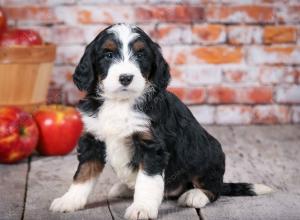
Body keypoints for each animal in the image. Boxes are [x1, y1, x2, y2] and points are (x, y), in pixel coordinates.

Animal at [50, 23, 274, 219]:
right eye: (108, 54)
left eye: (141, 54)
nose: (126, 78)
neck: (120, 102)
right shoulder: (93, 139)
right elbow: (83, 174)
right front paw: (69, 200)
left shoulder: (152, 146)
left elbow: (147, 181)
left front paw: (141, 209)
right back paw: (124, 187)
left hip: (209, 154)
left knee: (213, 188)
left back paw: (194, 195)